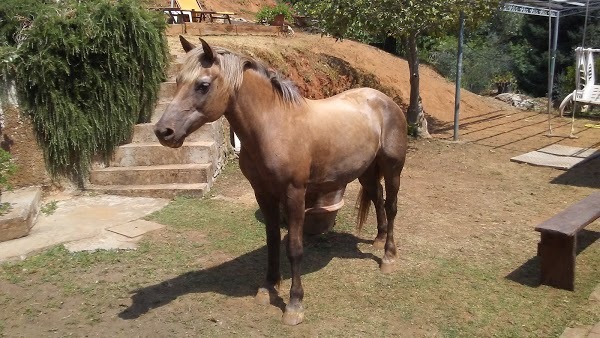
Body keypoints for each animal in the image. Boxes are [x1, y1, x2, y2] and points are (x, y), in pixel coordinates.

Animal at [155, 36, 408, 324]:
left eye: (203, 85)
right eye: (177, 81)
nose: (163, 132)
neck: (273, 126)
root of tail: (385, 100)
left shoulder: (294, 194)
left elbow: (294, 247)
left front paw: (294, 304)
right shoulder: (263, 193)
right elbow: (273, 239)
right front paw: (268, 286)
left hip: (393, 168)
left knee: (391, 206)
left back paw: (388, 256)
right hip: (365, 171)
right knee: (377, 198)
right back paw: (378, 238)